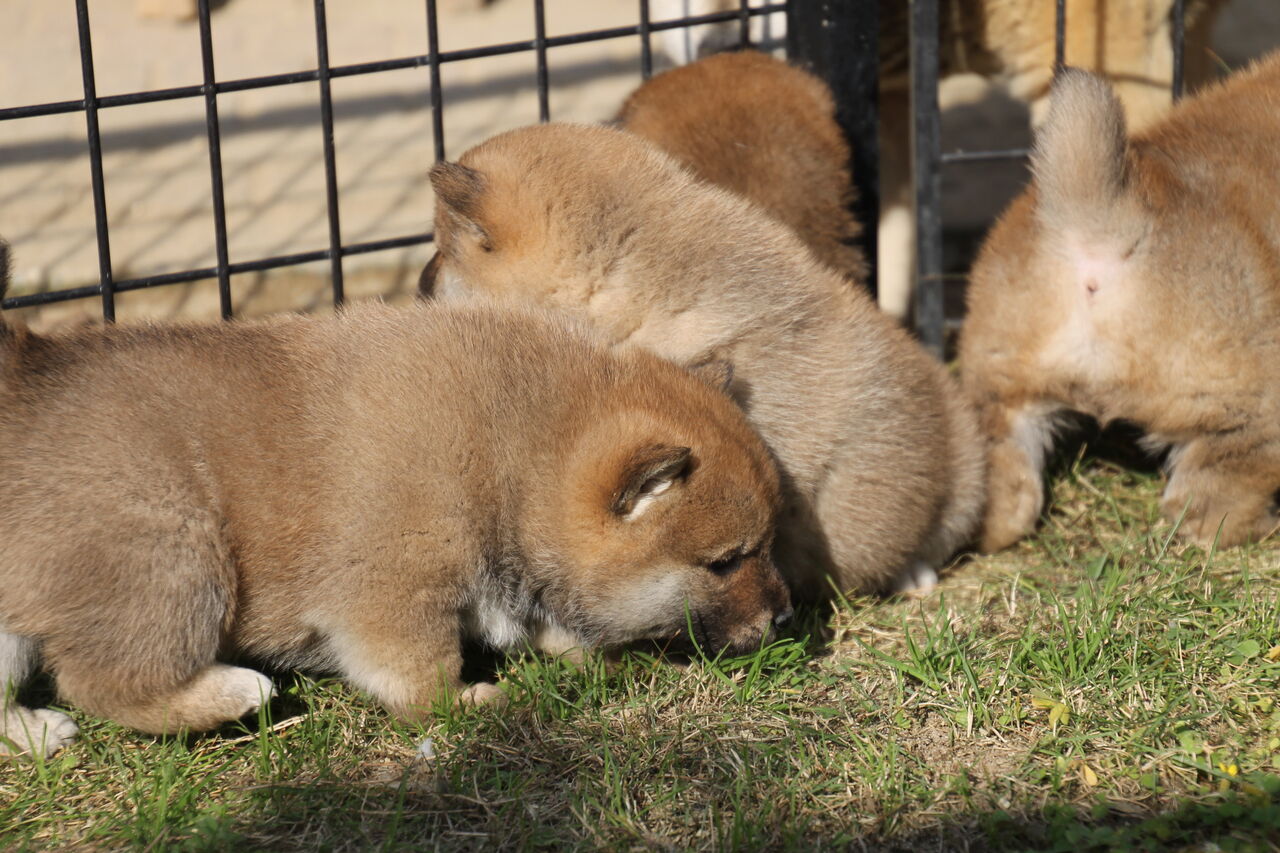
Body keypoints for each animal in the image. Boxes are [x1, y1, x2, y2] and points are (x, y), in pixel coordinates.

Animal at [0, 252, 789, 757]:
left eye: (768, 544)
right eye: (725, 562)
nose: (787, 617)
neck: (511, 457)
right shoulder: (393, 591)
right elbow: (420, 675)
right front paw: (472, 701)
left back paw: (31, 733)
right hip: (177, 559)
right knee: (101, 679)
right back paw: (232, 690)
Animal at [959, 54, 1280, 552]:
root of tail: (1105, 224)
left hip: (1000, 383)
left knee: (1007, 485)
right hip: (1244, 405)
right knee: (1211, 500)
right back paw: (1258, 530)